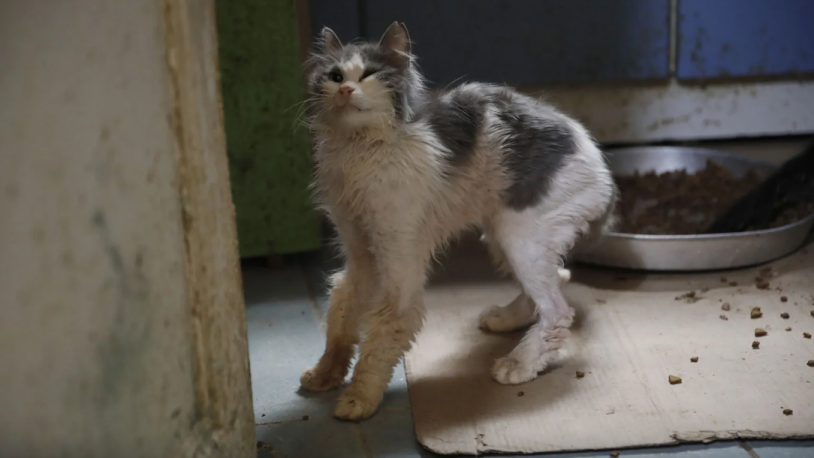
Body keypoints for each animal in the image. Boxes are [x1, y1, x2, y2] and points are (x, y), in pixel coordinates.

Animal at [300, 22, 620, 422]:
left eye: (369, 74)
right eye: (335, 76)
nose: (345, 90)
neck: (359, 149)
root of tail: (602, 164)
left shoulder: (399, 268)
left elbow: (381, 337)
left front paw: (359, 397)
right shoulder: (359, 256)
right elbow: (341, 314)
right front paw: (326, 373)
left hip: (520, 234)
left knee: (558, 311)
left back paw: (519, 363)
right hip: (501, 234)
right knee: (556, 280)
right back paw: (507, 321)